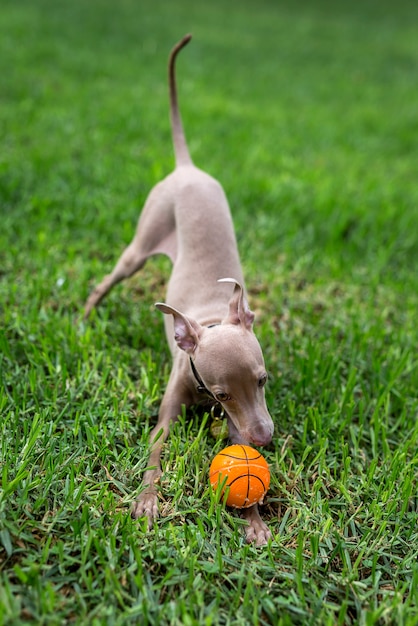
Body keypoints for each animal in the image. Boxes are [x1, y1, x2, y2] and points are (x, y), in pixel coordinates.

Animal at [84, 34, 274, 544]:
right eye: (222, 394)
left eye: (264, 380)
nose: (266, 438)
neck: (208, 318)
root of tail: (187, 168)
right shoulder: (171, 410)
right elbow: (155, 451)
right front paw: (147, 501)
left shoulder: (239, 422)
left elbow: (239, 449)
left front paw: (253, 519)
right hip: (139, 244)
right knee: (105, 280)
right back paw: (84, 316)